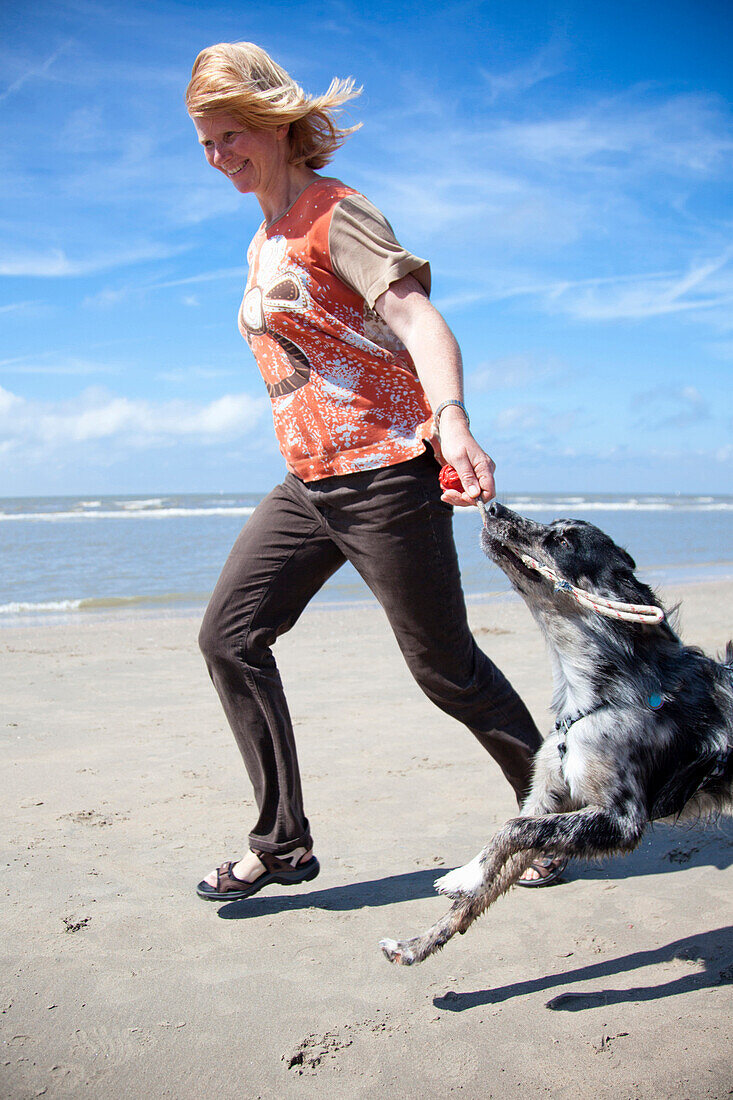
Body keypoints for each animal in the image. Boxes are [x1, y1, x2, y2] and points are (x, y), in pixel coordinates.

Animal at [378, 503, 726, 968]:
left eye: (561, 540)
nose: (493, 506)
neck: (594, 695)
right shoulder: (549, 798)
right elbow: (487, 881)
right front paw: (416, 945)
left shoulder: (622, 820)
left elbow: (510, 829)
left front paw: (463, 874)